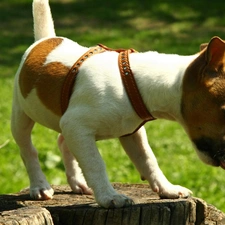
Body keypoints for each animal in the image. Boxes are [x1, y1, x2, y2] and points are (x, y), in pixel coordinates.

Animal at [11, 0, 225, 208]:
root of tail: (45, 39)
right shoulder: (76, 125)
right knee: (28, 149)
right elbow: (95, 163)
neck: (133, 79)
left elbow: (148, 160)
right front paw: (109, 196)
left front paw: (167, 189)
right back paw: (39, 186)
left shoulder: (130, 134)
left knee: (63, 141)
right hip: (22, 116)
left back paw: (78, 183)